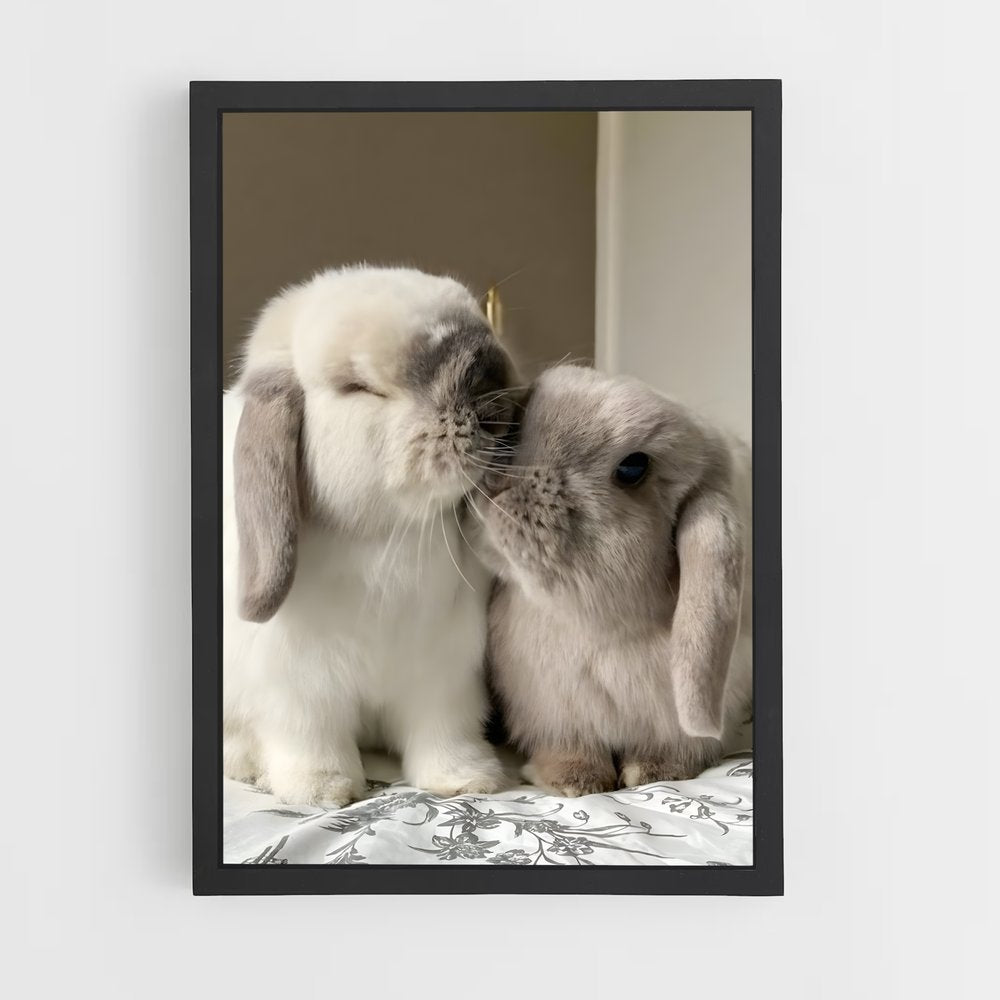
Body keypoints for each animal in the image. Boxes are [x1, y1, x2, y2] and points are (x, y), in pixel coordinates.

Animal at [223, 265, 520, 807]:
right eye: (358, 386)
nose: (492, 394)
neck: (385, 537)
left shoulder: (443, 680)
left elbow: (444, 734)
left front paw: (468, 780)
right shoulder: (300, 691)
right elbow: (311, 738)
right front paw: (322, 790)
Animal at [477, 364, 752, 796]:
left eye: (632, 468)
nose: (499, 478)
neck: (603, 634)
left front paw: (655, 772)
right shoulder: (555, 714)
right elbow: (570, 747)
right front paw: (575, 781)